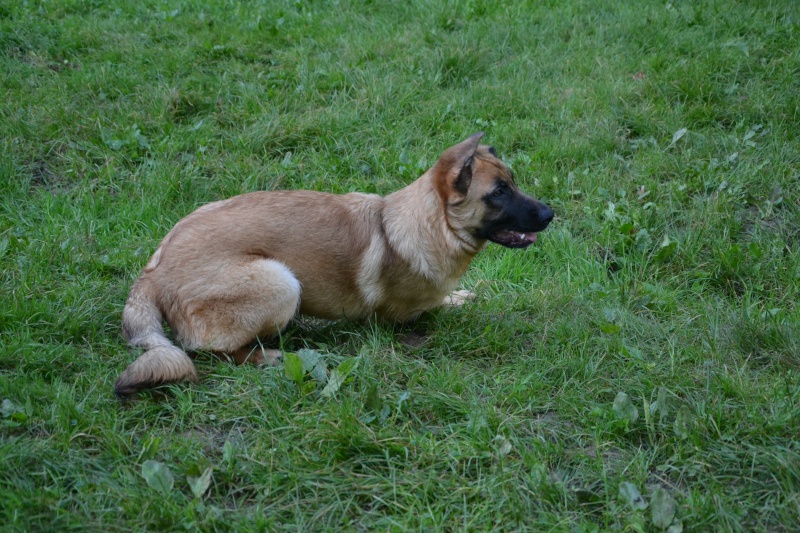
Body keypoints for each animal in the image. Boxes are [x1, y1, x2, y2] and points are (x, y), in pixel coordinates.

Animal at [114, 133, 556, 394]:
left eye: (513, 182)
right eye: (498, 193)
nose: (551, 214)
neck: (430, 224)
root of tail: (152, 275)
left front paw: (465, 295)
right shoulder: (403, 316)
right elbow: (435, 309)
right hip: (280, 281)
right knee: (209, 352)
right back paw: (268, 356)